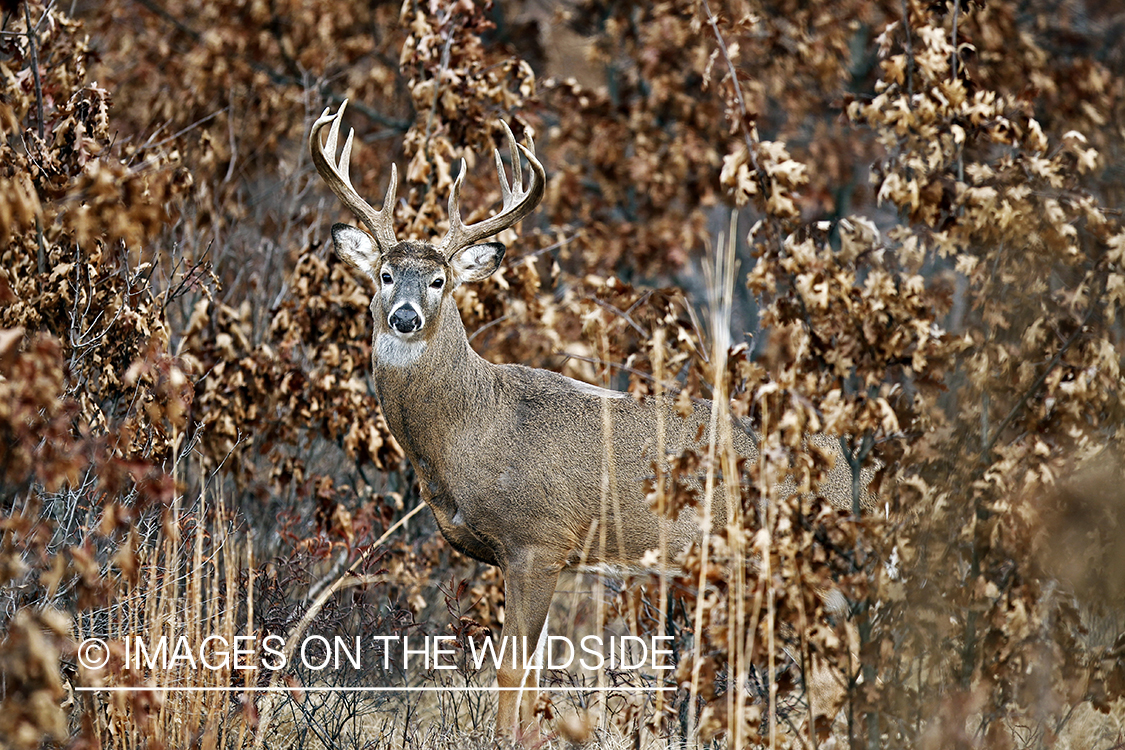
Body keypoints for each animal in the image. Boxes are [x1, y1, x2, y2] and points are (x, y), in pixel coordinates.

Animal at [308, 102, 859, 742]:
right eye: (385, 275)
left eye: (440, 280)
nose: (404, 317)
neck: (470, 432)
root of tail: (849, 467)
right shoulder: (522, 555)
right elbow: (532, 676)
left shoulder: (538, 540)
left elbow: (511, 669)